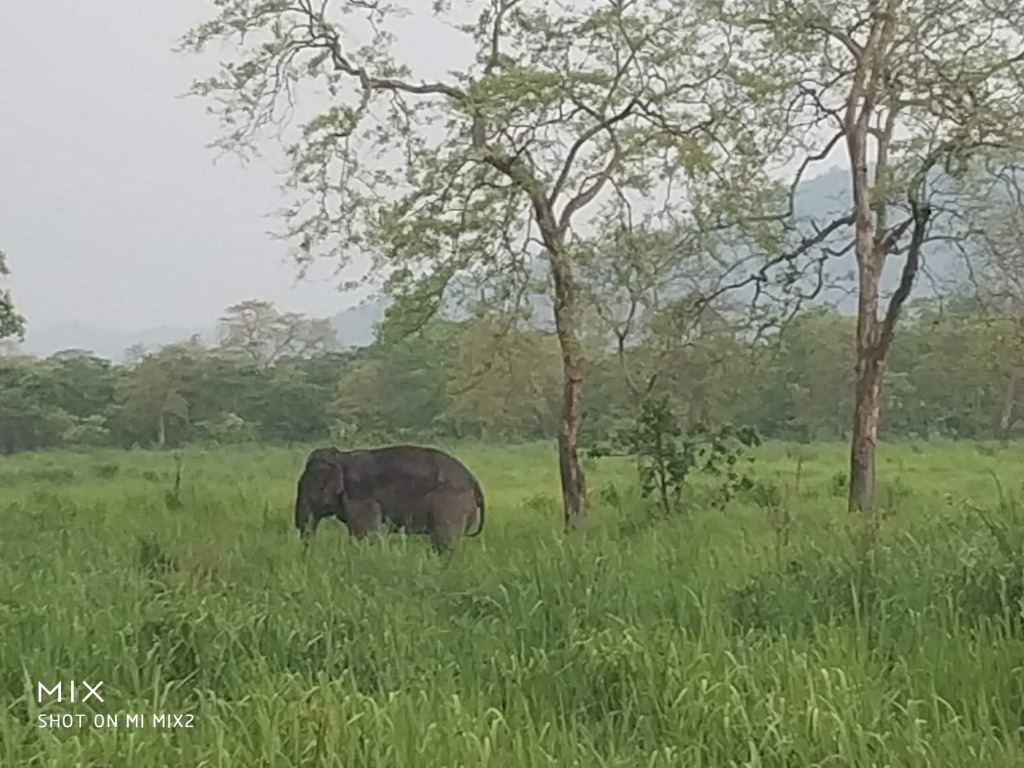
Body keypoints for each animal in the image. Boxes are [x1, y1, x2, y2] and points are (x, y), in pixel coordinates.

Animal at [294, 444, 486, 552]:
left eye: (305, 487)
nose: (307, 553)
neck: (341, 457)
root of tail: (474, 481)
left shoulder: (360, 497)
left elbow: (366, 533)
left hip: (451, 503)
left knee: (445, 541)